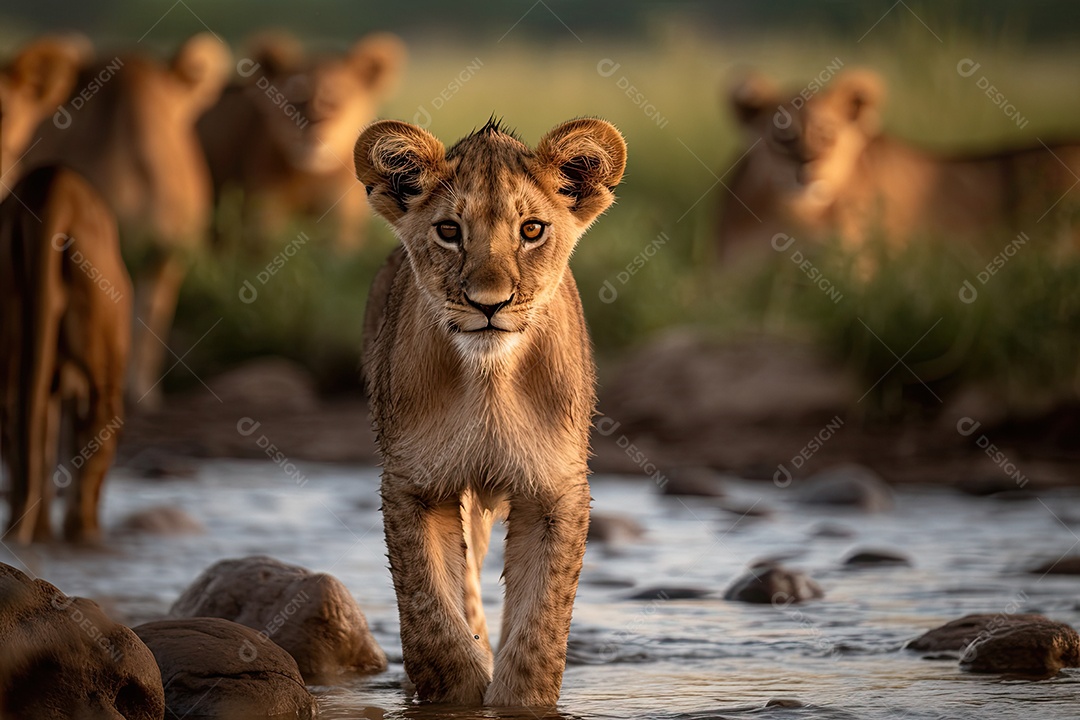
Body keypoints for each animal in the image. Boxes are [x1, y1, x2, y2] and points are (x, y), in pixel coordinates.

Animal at [0, 166, 131, 544]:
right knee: (101, 421)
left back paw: (25, 531)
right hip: (101, 338)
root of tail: (52, 183)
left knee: (17, 421)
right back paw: (82, 531)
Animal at [199, 32, 405, 251]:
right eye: (296, 97)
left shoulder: (340, 219)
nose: (312, 128)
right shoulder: (264, 211)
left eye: (337, 99)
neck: (310, 177)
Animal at [354, 117, 627, 706]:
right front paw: (458, 688)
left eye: (532, 230)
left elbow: (539, 630)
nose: (489, 303)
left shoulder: (556, 490)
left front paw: (517, 698)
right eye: (449, 231)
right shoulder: (413, 484)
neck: (489, 384)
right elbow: (431, 616)